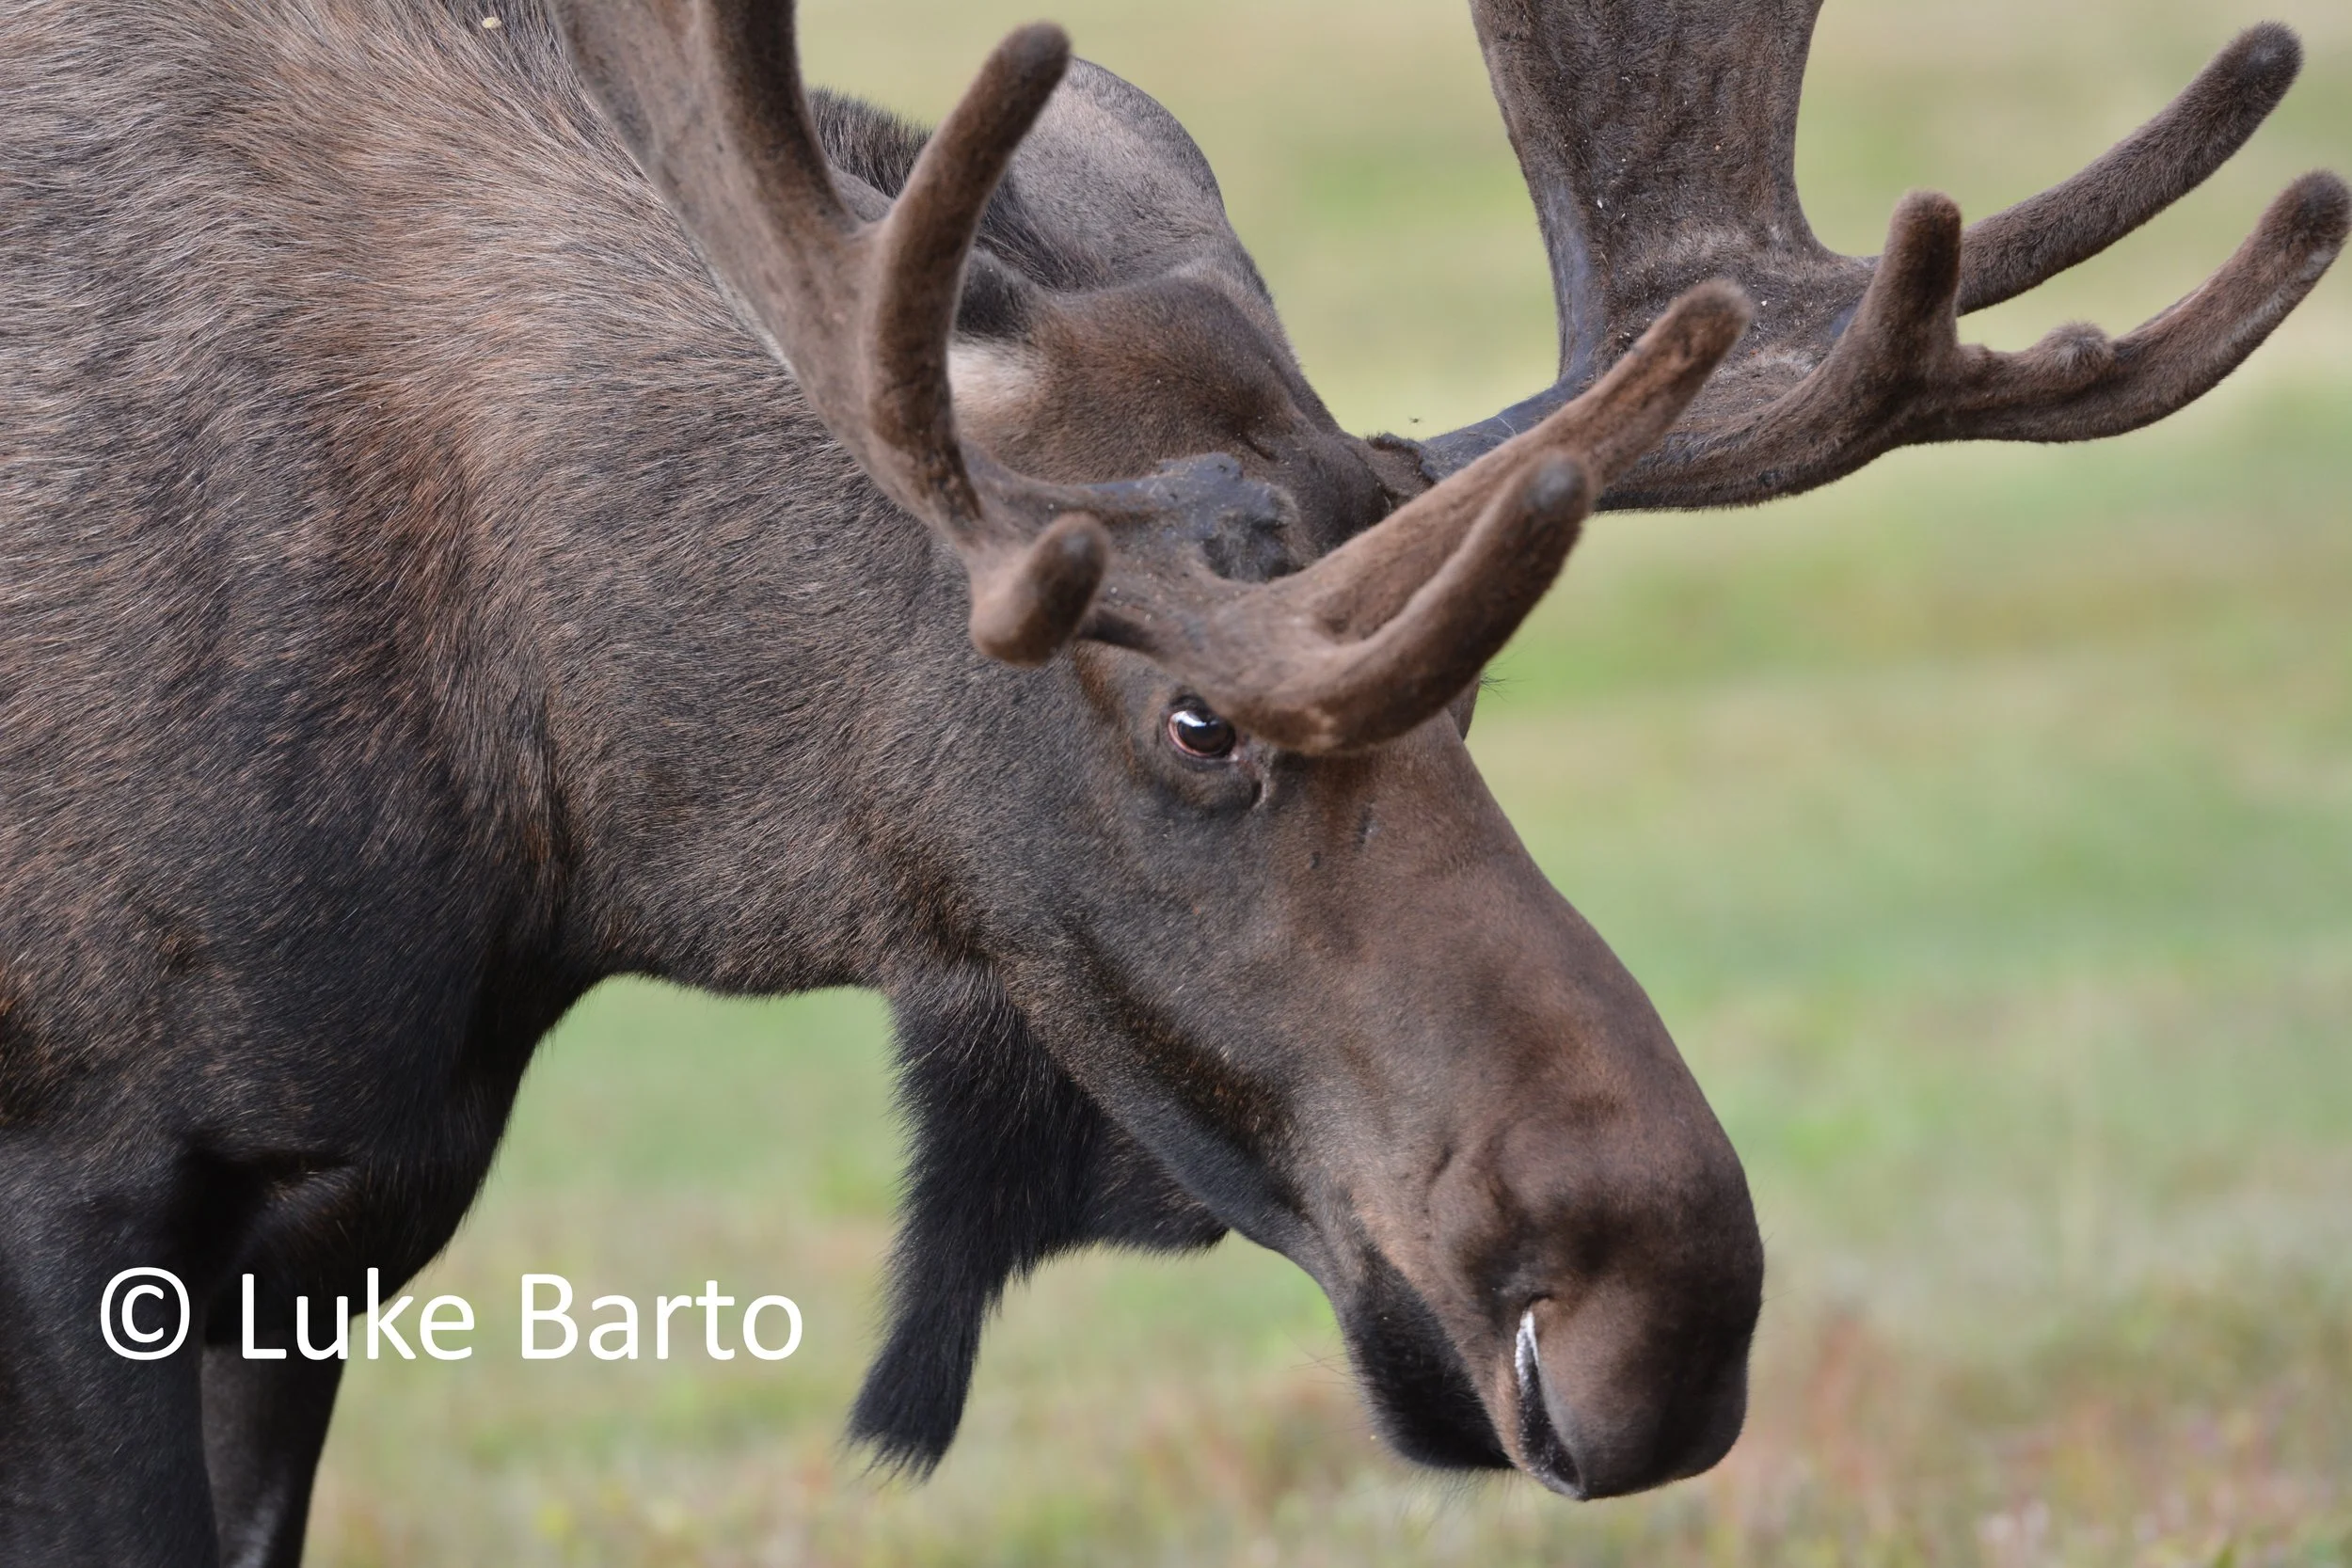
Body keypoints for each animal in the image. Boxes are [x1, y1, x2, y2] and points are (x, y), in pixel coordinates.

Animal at [0, 0, 2338, 1560]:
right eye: (1195, 719)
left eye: (1481, 680)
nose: (1658, 1298)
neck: (539, 811)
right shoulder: (90, 1166)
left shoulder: (334, 1209)